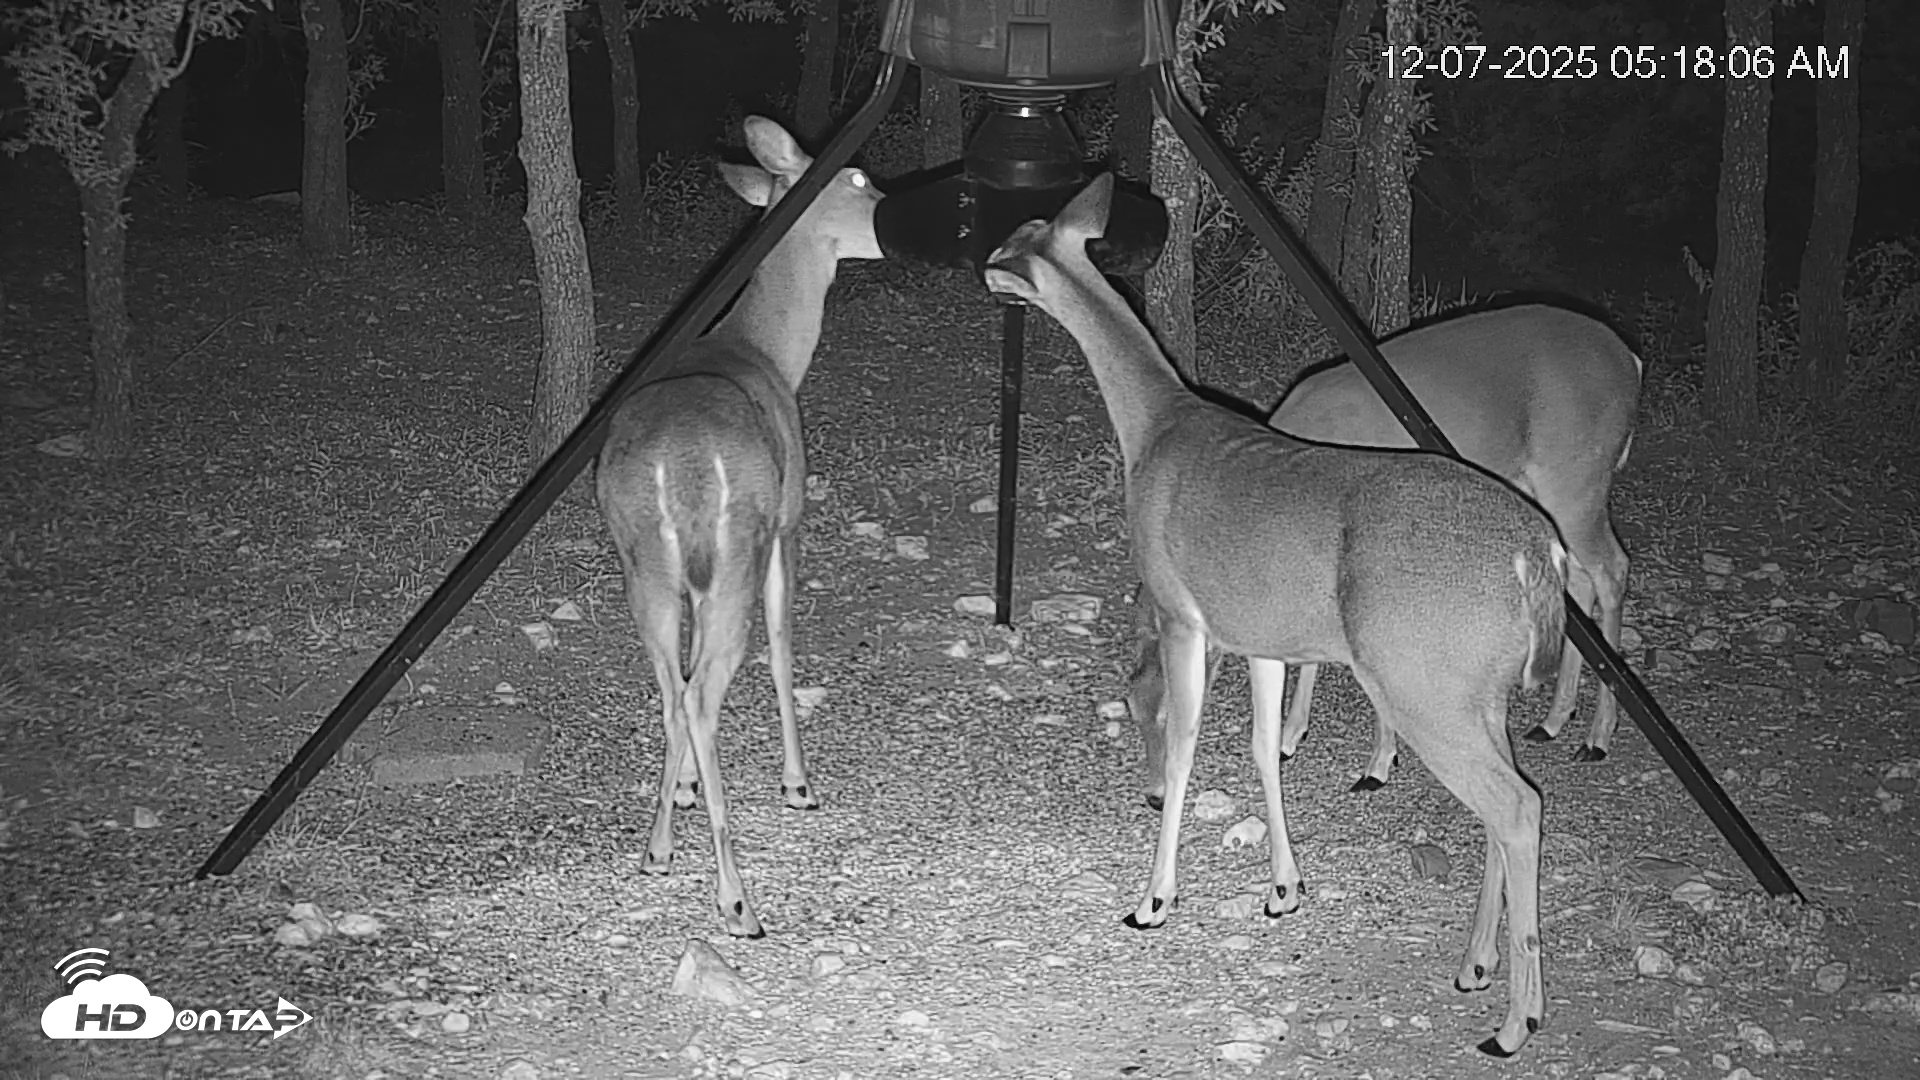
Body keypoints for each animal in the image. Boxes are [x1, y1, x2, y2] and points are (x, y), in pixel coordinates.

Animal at [595, 117, 882, 939]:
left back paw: (658, 849)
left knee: (672, 690)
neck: (764, 353)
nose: (891, 215)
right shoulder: (788, 520)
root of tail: (677, 466)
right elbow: (785, 650)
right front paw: (798, 784)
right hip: (736, 551)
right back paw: (737, 902)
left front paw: (686, 788)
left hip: (643, 565)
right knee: (701, 690)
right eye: (856, 178)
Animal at [983, 174, 1566, 1057]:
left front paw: (1153, 901)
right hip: (1476, 690)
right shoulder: (1258, 634)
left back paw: (1514, 1023)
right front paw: (1284, 890)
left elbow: (1188, 746)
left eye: (1013, 241)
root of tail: (1539, 552)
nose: (984, 271)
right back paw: (1474, 966)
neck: (1155, 427)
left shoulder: (1183, 613)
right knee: (1512, 800)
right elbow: (1263, 748)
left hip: (1423, 684)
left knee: (1518, 807)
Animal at [1128, 304, 1639, 802]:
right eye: (1131, 705)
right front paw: (1292, 736)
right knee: (1580, 578)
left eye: (1170, 715)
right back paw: (1553, 720)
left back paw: (1597, 736)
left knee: (1613, 568)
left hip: (1576, 477)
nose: (1154, 796)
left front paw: (1377, 764)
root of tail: (1629, 359)